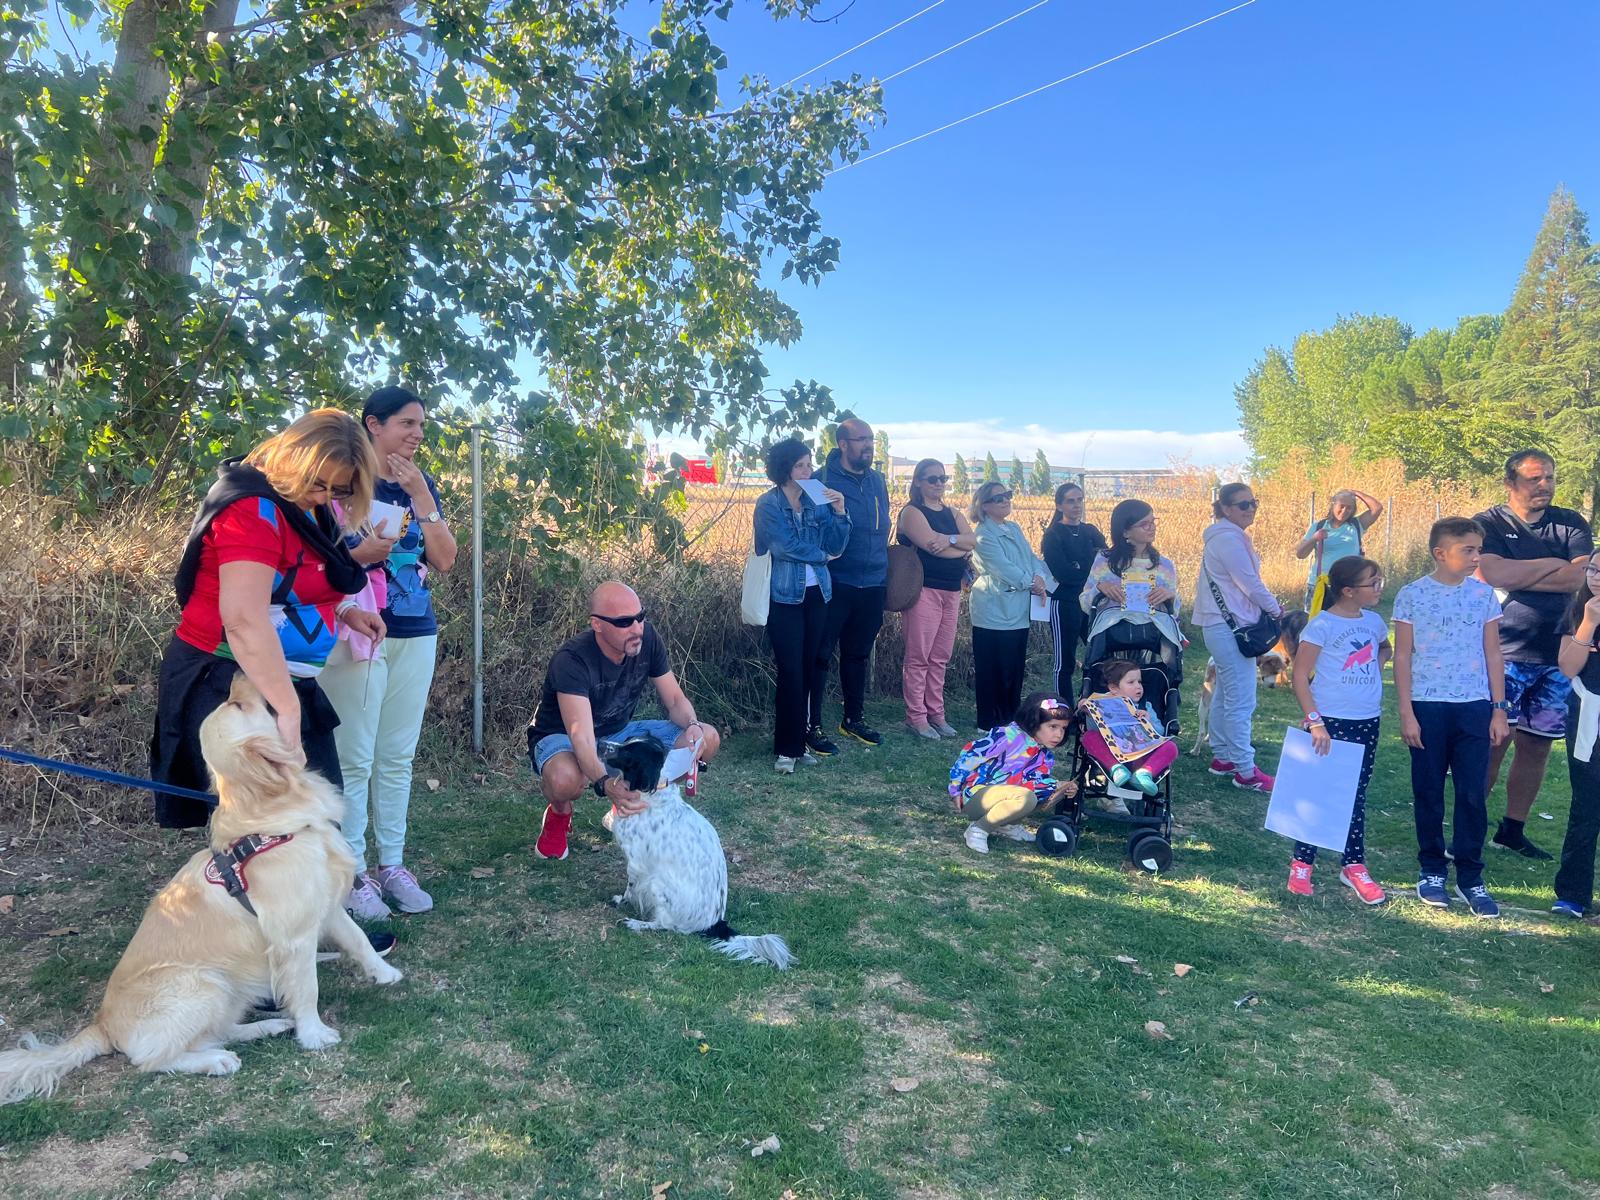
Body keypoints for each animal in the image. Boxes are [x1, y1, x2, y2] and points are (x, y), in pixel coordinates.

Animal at [0, 678, 400, 1107]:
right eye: (239, 705)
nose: (240, 675)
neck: (273, 823)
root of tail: (102, 1024)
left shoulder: (325, 906)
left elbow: (359, 940)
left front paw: (385, 973)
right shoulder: (294, 936)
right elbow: (307, 986)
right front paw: (314, 1035)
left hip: (229, 989)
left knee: (218, 1031)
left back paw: (269, 1026)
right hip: (203, 983)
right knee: (154, 1059)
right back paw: (217, 1060)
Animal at [604, 739, 793, 972]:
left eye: (628, 752)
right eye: (626, 741)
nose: (603, 744)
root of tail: (715, 924)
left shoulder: (636, 863)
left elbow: (630, 889)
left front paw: (622, 902)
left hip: (657, 884)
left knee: (665, 924)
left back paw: (637, 924)